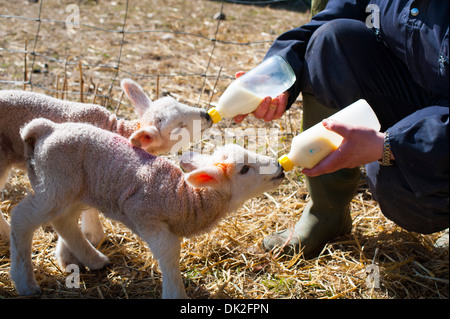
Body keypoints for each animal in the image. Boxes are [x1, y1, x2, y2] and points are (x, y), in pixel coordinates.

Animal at [9, 119, 284, 298]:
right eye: (244, 169)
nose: (280, 167)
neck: (182, 197)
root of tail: (49, 129)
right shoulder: (144, 214)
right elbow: (169, 250)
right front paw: (176, 294)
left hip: (76, 192)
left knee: (64, 222)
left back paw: (94, 260)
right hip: (55, 182)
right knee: (22, 219)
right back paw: (25, 283)